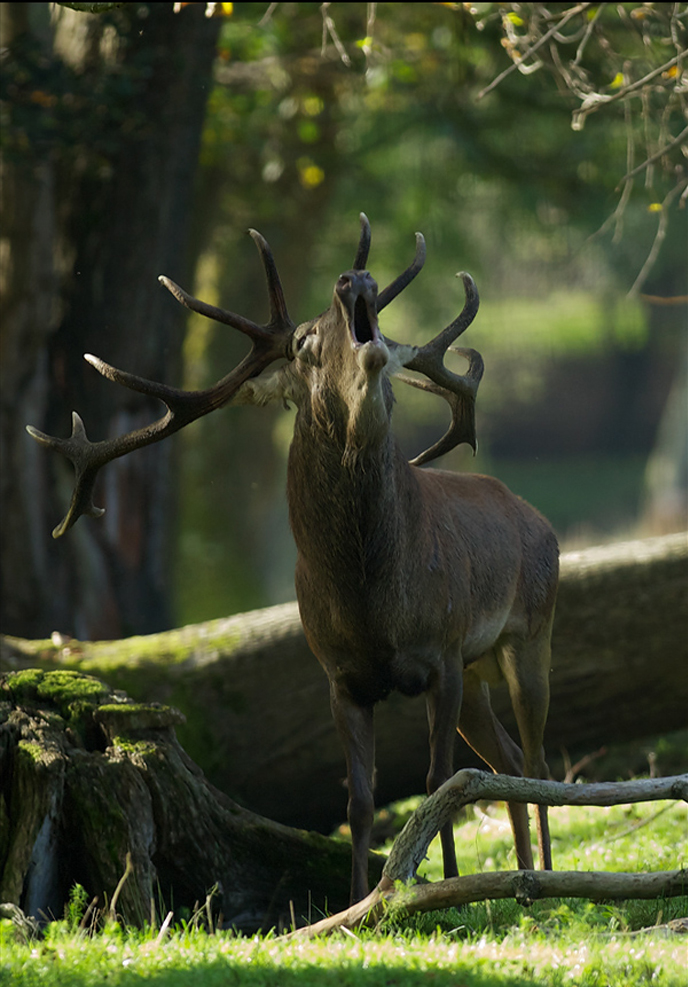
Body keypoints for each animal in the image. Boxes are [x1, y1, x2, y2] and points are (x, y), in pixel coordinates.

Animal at [28, 214, 559, 904]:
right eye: (304, 344)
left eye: (385, 330)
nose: (355, 278)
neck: (371, 599)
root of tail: (541, 522)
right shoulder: (340, 676)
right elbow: (360, 802)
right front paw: (362, 899)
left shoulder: (442, 652)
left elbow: (441, 780)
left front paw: (441, 888)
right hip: (480, 670)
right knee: (509, 761)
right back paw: (522, 875)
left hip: (531, 634)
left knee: (537, 759)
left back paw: (547, 873)